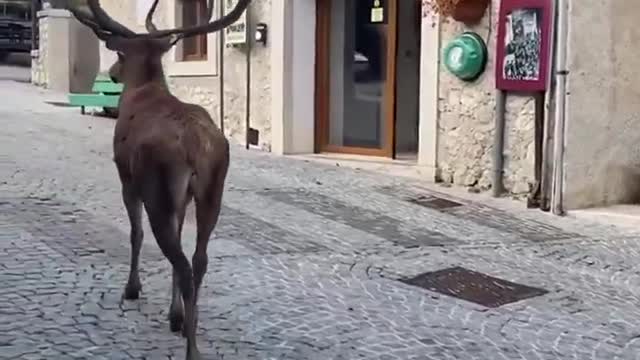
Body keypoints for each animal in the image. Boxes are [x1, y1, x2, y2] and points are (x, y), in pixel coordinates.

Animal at [64, 0, 250, 360]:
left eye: (121, 55)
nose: (112, 73)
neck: (143, 89)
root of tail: (196, 146)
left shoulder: (126, 177)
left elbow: (135, 234)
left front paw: (132, 288)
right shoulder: (183, 199)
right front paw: (174, 314)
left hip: (157, 187)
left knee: (182, 261)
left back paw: (192, 348)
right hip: (212, 191)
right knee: (199, 259)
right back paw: (188, 322)